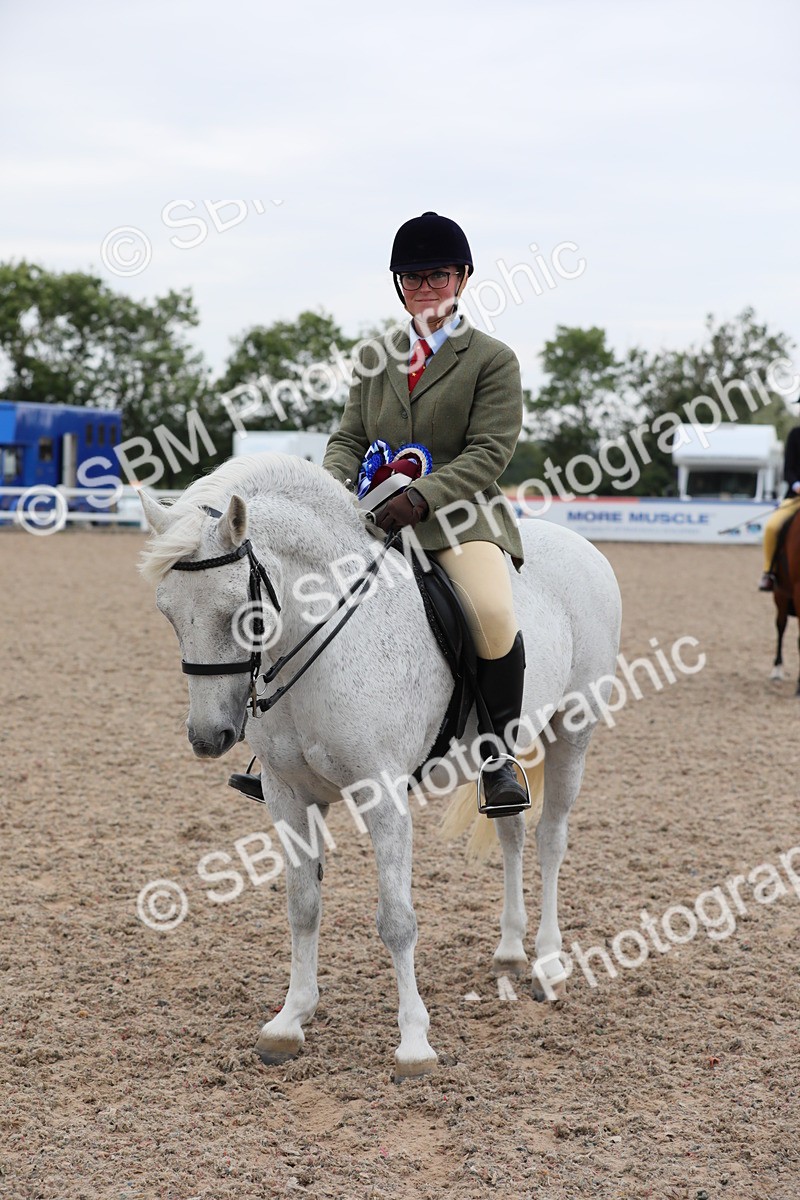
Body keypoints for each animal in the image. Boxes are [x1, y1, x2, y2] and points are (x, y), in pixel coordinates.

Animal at [138, 452, 622, 1078]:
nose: (207, 736)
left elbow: (396, 919)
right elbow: (303, 905)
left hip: (572, 731)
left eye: (243, 615)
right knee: (512, 829)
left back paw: (548, 963)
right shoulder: (287, 796)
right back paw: (511, 952)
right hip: (507, 749)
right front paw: (289, 1021)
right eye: (168, 613)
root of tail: (581, 545)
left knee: (550, 839)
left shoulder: (382, 795)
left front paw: (414, 1042)